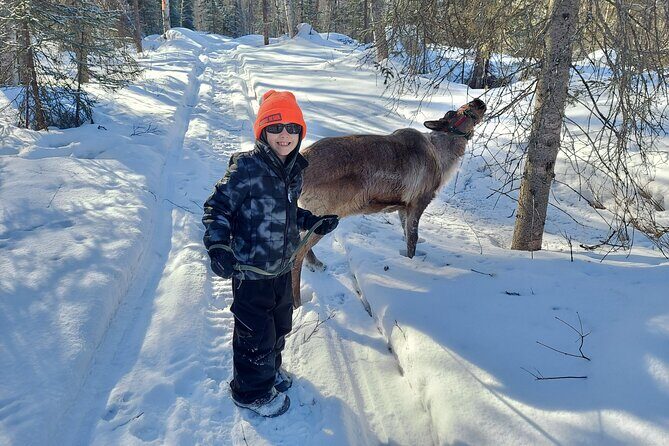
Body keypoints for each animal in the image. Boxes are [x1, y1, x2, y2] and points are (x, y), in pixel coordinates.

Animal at [291, 98, 486, 307]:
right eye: (457, 113)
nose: (479, 101)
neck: (442, 156)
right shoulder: (419, 201)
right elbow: (413, 239)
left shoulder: (404, 207)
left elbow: (406, 235)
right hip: (325, 216)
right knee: (296, 255)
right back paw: (297, 301)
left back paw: (317, 265)